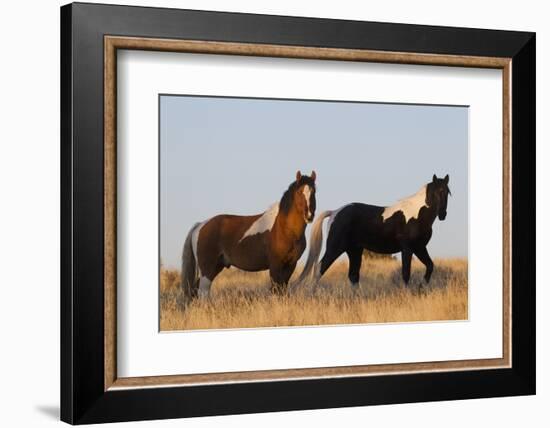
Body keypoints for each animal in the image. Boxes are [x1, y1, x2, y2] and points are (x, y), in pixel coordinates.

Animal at [182, 171, 320, 300]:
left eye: (314, 192)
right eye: (299, 192)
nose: (309, 215)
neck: (284, 228)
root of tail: (200, 225)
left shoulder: (290, 264)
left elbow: (282, 290)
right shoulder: (275, 265)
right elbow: (275, 290)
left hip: (216, 266)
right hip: (207, 268)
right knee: (203, 292)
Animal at [302, 174, 452, 288]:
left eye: (447, 192)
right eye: (436, 192)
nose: (442, 214)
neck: (416, 215)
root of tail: (334, 212)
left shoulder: (420, 247)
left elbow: (430, 266)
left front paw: (422, 286)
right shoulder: (408, 248)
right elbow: (406, 273)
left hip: (354, 250)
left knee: (353, 276)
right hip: (335, 248)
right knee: (319, 269)